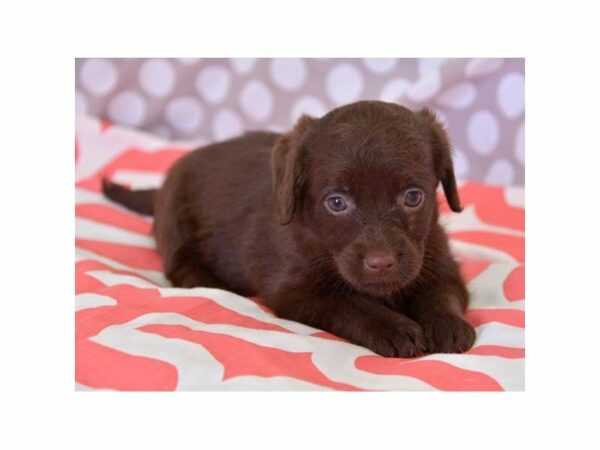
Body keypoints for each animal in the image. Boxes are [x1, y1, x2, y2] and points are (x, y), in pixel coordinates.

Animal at [104, 100, 478, 356]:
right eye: (336, 202)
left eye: (413, 197)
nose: (381, 262)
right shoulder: (295, 290)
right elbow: (349, 304)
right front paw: (392, 327)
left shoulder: (437, 256)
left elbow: (440, 291)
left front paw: (446, 324)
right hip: (176, 217)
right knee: (181, 265)